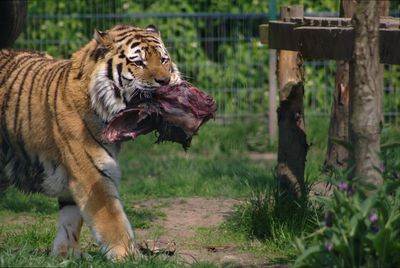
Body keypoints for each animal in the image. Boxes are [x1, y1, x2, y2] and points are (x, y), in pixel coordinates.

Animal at [0, 25, 181, 260]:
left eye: (163, 59)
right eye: (139, 62)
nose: (165, 81)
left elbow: (70, 220)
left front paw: (66, 255)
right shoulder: (91, 171)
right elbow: (113, 220)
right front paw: (130, 256)